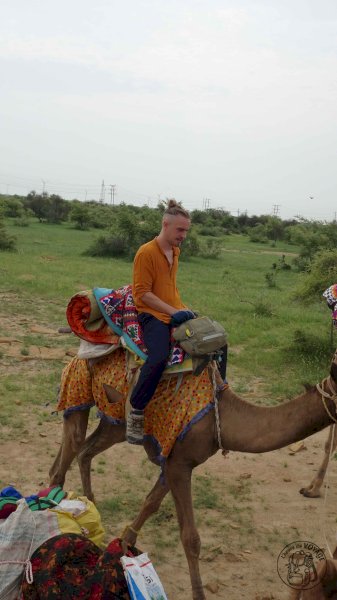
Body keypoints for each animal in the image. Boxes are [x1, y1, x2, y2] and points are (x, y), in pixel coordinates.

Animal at [49, 352, 336, 600]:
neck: (224, 417)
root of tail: (76, 357)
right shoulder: (179, 464)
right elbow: (191, 538)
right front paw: (198, 594)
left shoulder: (174, 461)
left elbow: (151, 503)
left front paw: (122, 547)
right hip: (78, 391)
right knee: (66, 458)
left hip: (115, 422)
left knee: (83, 451)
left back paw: (89, 508)